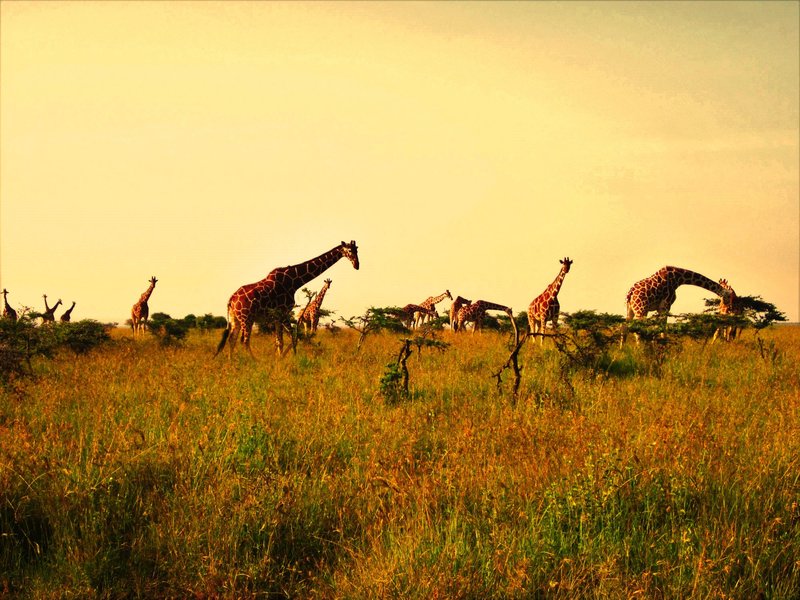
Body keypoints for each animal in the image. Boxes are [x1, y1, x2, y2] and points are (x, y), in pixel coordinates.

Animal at [216, 241, 359, 357]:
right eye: (349, 250)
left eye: (357, 249)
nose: (357, 265)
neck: (294, 281)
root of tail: (231, 300)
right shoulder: (283, 312)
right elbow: (292, 335)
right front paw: (292, 357)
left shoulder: (278, 316)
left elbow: (280, 340)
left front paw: (280, 358)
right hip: (247, 318)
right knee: (244, 341)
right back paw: (253, 361)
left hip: (236, 319)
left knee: (232, 339)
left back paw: (231, 362)